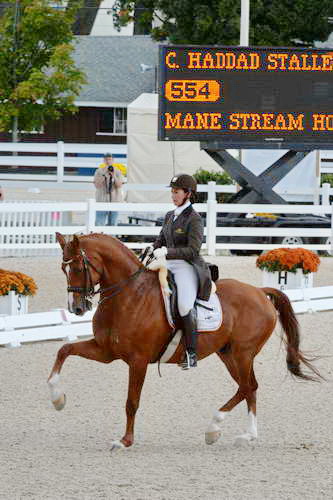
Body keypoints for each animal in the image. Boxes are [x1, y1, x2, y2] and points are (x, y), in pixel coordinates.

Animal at [47, 232, 320, 452]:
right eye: (63, 269)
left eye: (78, 268)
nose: (77, 308)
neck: (128, 296)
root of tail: (259, 292)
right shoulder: (106, 352)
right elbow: (64, 350)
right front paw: (58, 399)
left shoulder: (138, 360)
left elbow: (131, 402)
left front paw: (124, 441)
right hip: (229, 354)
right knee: (249, 388)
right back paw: (246, 436)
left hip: (242, 353)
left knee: (247, 387)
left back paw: (213, 428)